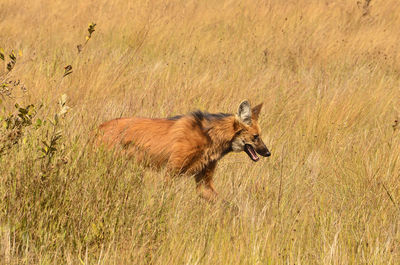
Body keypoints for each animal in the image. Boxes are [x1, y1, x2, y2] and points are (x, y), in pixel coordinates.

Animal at [98, 100, 270, 199]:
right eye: (256, 137)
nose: (268, 153)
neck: (210, 137)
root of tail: (100, 127)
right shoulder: (171, 172)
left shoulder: (204, 183)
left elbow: (226, 203)